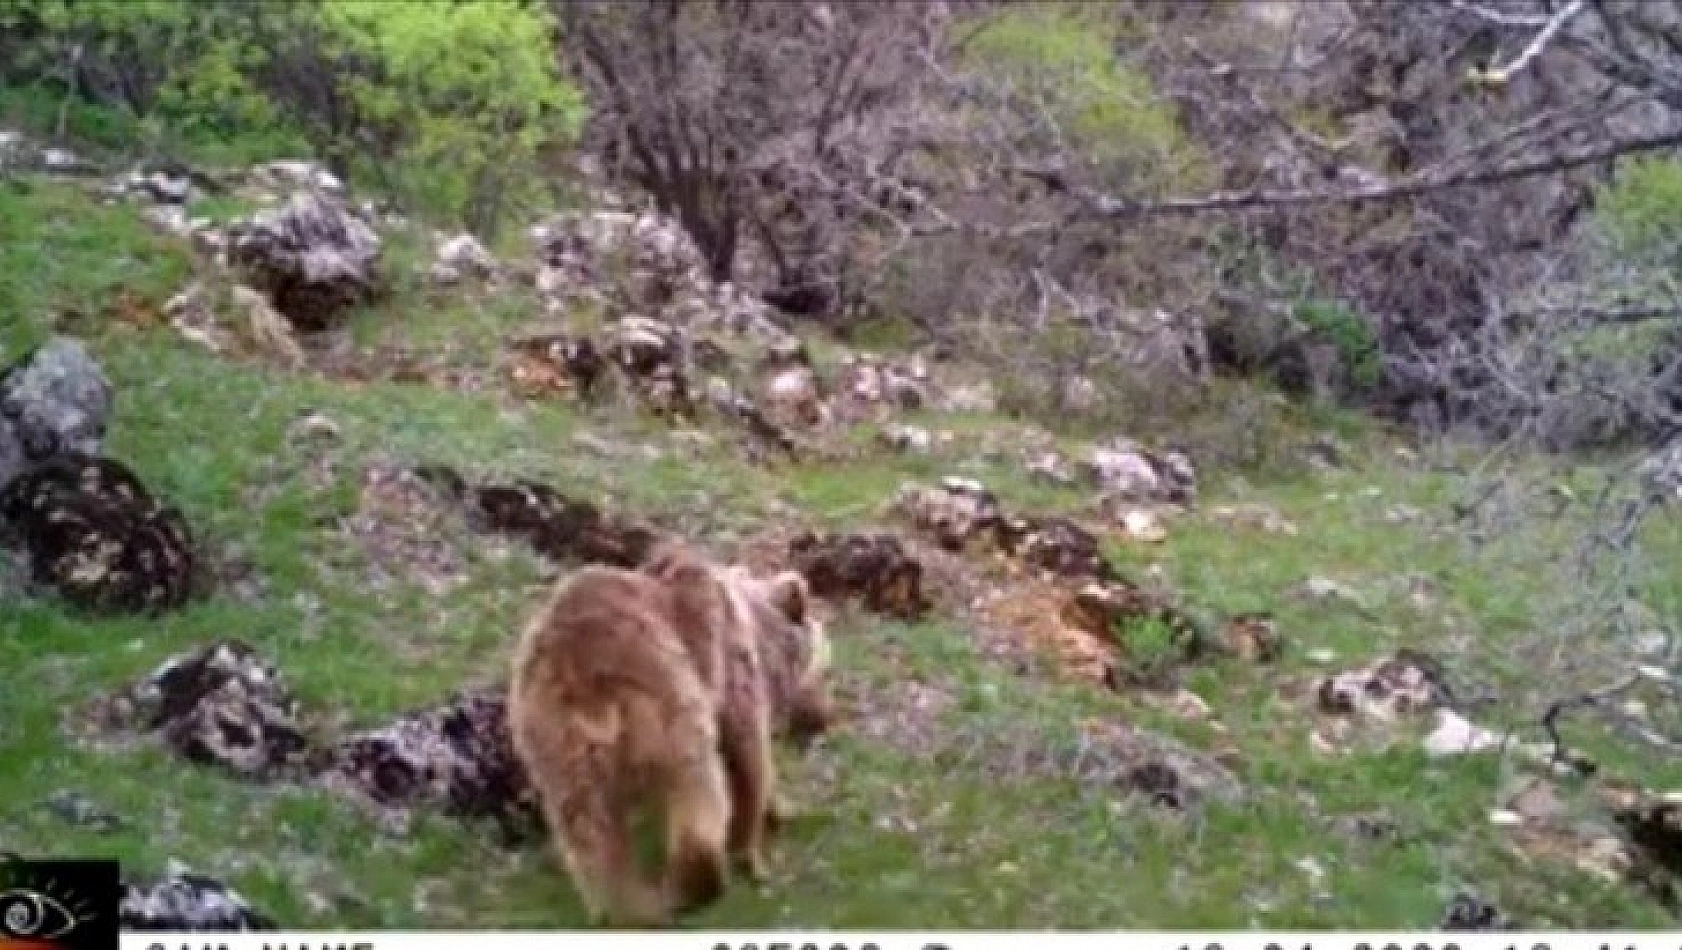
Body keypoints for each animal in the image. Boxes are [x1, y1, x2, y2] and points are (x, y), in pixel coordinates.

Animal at [504, 541, 834, 928]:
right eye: (825, 669)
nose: (825, 718)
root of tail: (583, 682)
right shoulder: (729, 667)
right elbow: (747, 756)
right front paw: (761, 839)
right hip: (673, 704)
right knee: (698, 786)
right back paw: (696, 883)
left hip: (552, 744)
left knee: (587, 829)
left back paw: (626, 908)